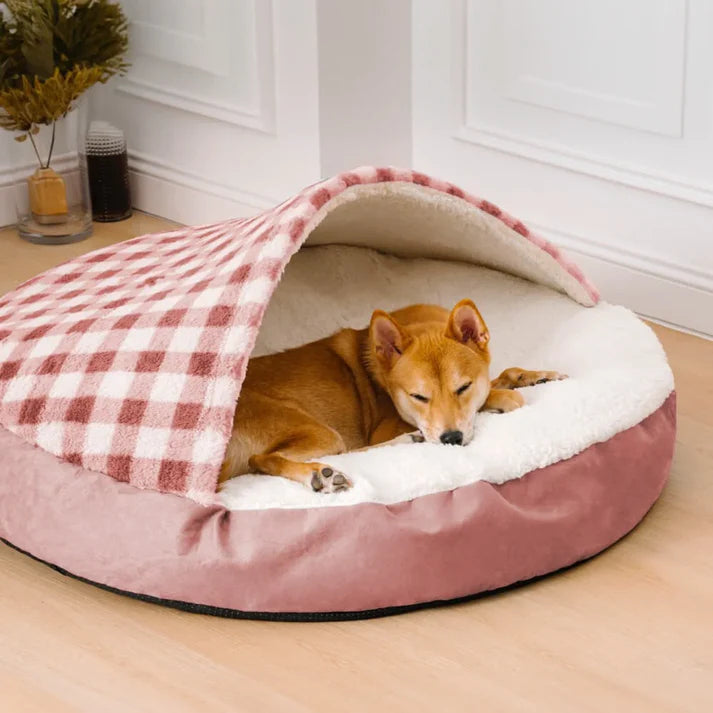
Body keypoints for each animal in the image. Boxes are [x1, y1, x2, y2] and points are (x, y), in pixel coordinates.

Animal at [220, 298, 564, 492]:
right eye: (418, 397)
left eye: (463, 387)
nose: (451, 439)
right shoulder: (383, 426)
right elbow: (501, 394)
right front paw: (502, 400)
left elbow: (502, 375)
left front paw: (536, 376)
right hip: (322, 432)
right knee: (263, 459)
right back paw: (322, 474)